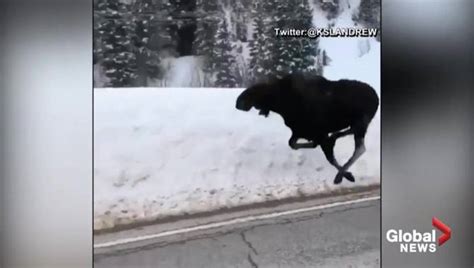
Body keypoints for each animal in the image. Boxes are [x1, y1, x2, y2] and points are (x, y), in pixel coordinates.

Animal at [235, 73, 380, 184]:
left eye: (261, 88)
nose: (239, 102)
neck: (283, 105)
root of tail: (376, 97)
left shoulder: (318, 132)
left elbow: (330, 158)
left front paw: (346, 175)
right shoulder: (300, 131)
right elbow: (292, 144)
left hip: (361, 122)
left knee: (360, 147)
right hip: (359, 124)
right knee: (357, 143)